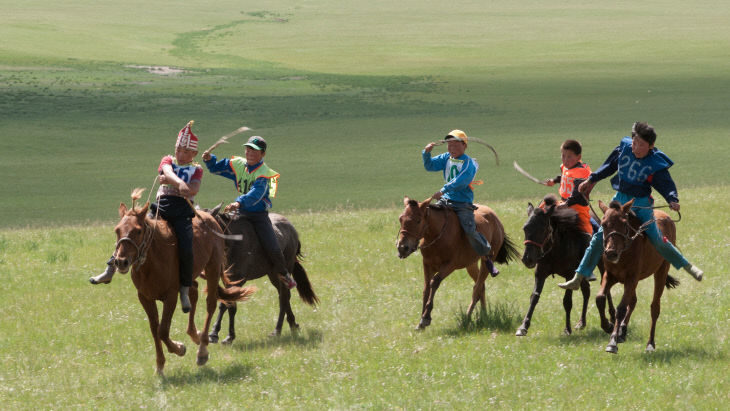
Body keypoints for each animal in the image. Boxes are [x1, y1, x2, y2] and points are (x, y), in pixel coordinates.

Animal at [113, 192, 256, 374]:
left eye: (138, 231)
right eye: (117, 230)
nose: (121, 262)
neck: (153, 260)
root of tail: (211, 218)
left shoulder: (171, 296)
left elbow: (163, 330)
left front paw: (179, 348)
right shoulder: (145, 297)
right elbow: (154, 329)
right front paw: (160, 364)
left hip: (213, 268)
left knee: (210, 303)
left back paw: (202, 350)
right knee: (193, 292)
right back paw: (195, 335)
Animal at [396, 197, 520, 332]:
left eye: (418, 220)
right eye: (401, 219)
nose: (402, 247)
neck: (438, 234)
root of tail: (496, 219)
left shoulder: (450, 265)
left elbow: (434, 282)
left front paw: (426, 318)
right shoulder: (427, 264)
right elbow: (426, 288)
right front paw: (420, 322)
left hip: (486, 261)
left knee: (477, 288)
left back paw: (466, 318)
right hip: (471, 265)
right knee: (481, 286)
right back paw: (484, 316)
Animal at [516, 196, 608, 338]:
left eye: (543, 228)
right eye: (525, 228)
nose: (527, 259)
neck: (555, 248)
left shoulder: (569, 275)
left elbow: (567, 301)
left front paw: (567, 329)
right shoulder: (540, 273)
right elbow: (534, 297)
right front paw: (523, 326)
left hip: (601, 265)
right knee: (586, 291)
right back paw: (581, 322)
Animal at [596, 200, 680, 354]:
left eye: (624, 223)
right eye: (603, 224)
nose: (611, 253)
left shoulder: (631, 278)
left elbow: (621, 308)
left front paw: (612, 342)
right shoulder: (610, 276)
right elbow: (600, 298)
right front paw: (608, 326)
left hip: (661, 271)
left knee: (654, 307)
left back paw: (650, 343)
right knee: (633, 301)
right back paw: (622, 331)